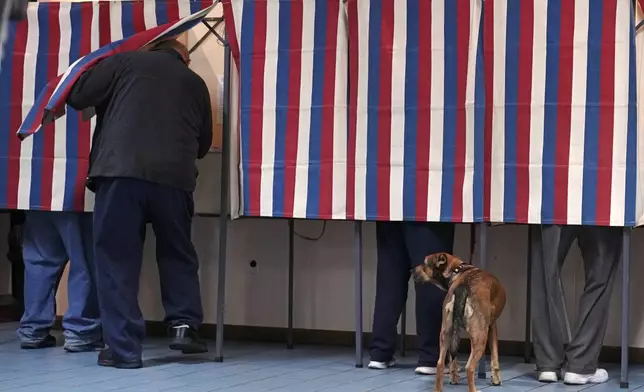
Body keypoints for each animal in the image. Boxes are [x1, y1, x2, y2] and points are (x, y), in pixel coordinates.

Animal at [416, 253, 506, 392]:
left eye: (424, 264)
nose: (411, 270)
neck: (458, 270)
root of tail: (462, 285)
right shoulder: (492, 327)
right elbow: (495, 356)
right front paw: (496, 380)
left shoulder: (455, 332)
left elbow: (453, 359)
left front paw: (454, 379)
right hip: (480, 336)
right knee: (469, 367)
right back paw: (474, 389)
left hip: (445, 333)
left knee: (440, 364)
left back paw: (438, 389)